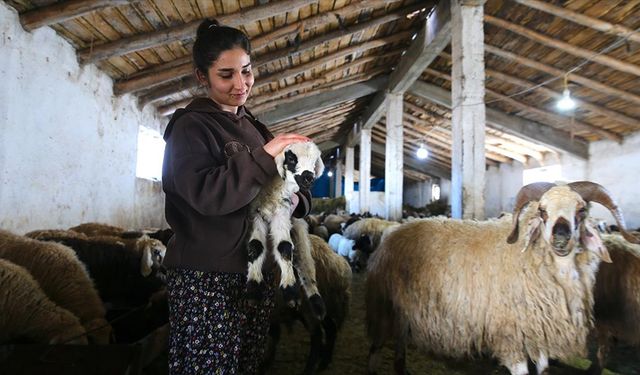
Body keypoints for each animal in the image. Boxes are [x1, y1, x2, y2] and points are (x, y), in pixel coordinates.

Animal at [245, 141, 324, 308]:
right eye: (292, 159)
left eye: (315, 162)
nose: (309, 178)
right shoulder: (255, 213)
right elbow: (255, 245)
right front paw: (253, 288)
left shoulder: (282, 211)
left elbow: (284, 247)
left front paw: (290, 290)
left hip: (299, 229)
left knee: (305, 261)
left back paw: (317, 302)